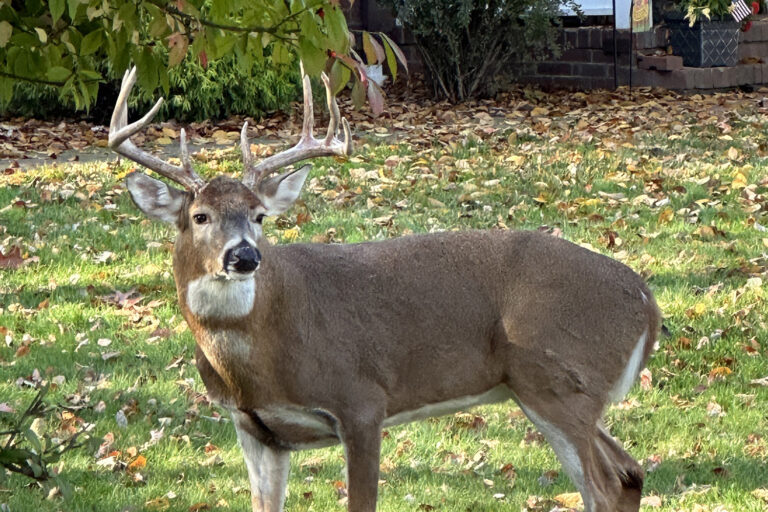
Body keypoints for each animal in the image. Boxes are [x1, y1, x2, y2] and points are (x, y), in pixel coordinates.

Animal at [108, 67, 660, 512]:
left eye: (260, 215)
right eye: (200, 216)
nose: (244, 256)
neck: (263, 359)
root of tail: (647, 301)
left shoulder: (362, 400)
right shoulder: (256, 430)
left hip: (558, 382)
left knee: (605, 488)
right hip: (555, 390)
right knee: (630, 475)